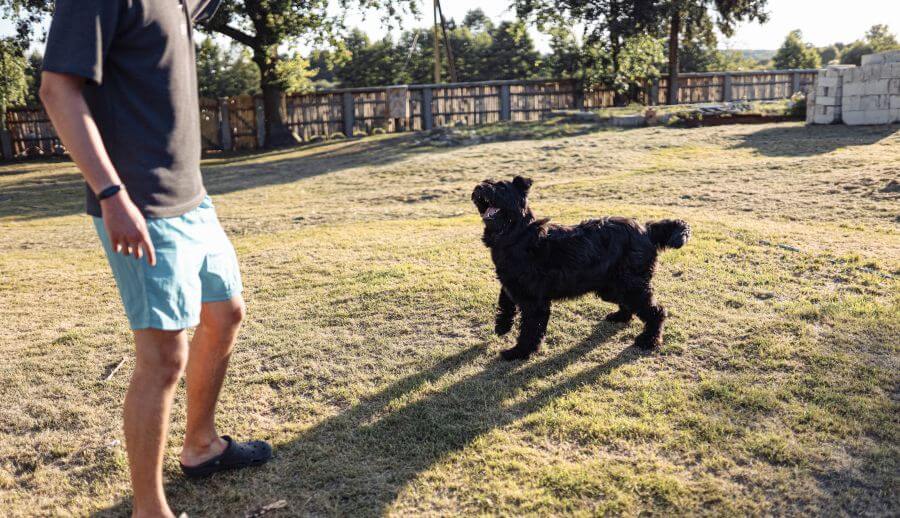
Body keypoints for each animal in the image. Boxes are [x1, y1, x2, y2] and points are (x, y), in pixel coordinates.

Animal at [472, 176, 688, 362]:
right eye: (486, 182)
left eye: (502, 187)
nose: (479, 187)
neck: (516, 235)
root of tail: (647, 231)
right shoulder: (512, 284)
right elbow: (505, 301)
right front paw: (502, 326)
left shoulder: (534, 301)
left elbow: (530, 329)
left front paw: (519, 352)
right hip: (613, 286)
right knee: (629, 304)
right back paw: (620, 317)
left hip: (630, 285)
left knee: (656, 311)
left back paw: (649, 340)